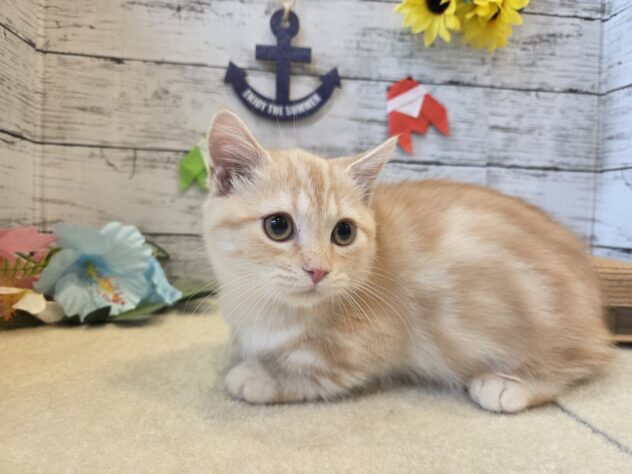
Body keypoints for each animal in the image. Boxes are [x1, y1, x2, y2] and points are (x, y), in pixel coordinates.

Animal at [203, 109, 613, 412]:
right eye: (278, 226)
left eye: (343, 233)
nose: (318, 270)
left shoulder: (370, 341)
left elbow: (311, 366)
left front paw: (259, 375)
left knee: (591, 357)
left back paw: (510, 385)